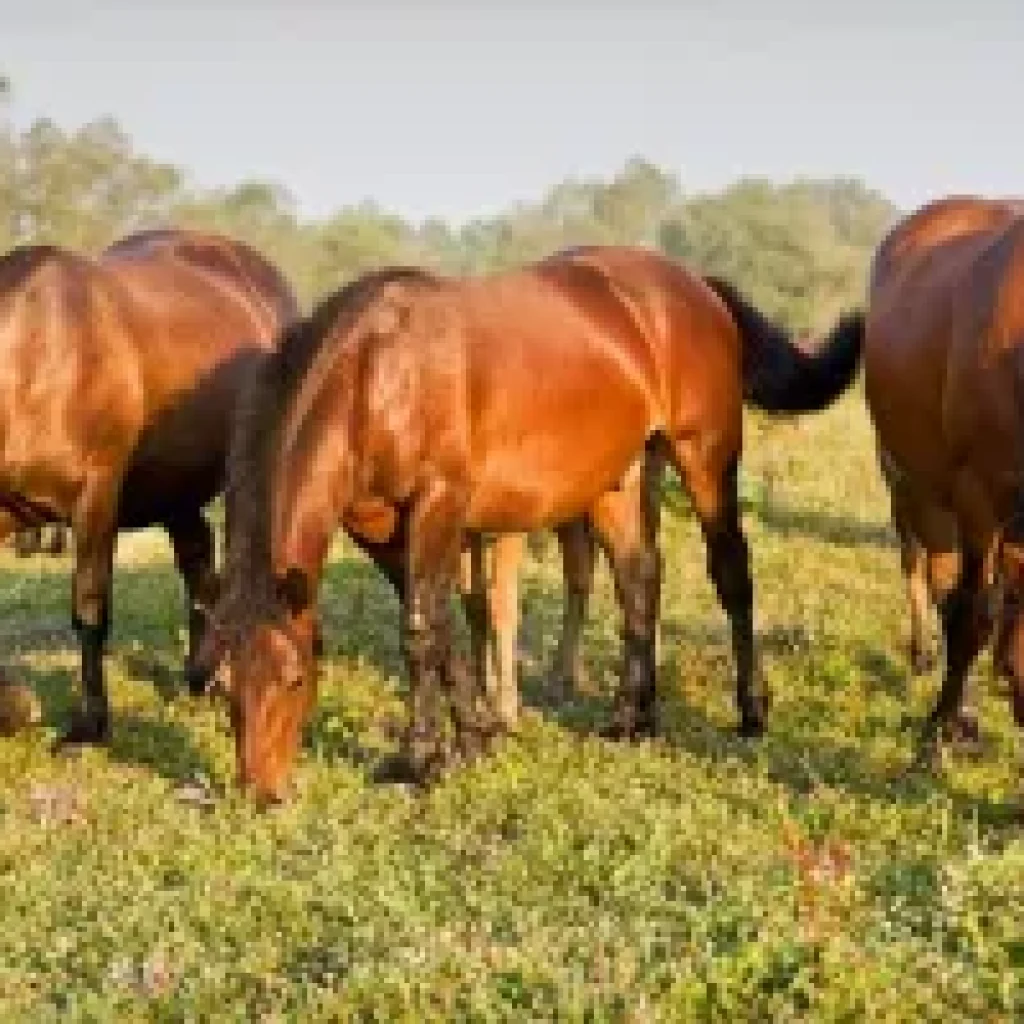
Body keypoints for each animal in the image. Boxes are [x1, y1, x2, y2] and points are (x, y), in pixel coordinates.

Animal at [0, 228, 299, 749]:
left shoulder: (96, 497)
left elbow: (90, 609)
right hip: (176, 489)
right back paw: (202, 676)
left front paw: (90, 725)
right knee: (200, 565)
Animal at [203, 245, 860, 798]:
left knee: (731, 574)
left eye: (294, 679)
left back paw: (751, 709)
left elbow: (420, 633)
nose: (260, 793)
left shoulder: (439, 502)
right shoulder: (381, 529)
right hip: (616, 480)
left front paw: (417, 761)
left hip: (705, 456)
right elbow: (442, 628)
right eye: (226, 686)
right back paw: (632, 717)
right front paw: (471, 742)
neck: (377, 372)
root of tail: (694, 285)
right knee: (638, 579)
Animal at [868, 195, 1024, 765]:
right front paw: (944, 725)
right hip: (910, 484)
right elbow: (970, 612)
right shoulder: (978, 492)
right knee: (933, 579)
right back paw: (929, 663)